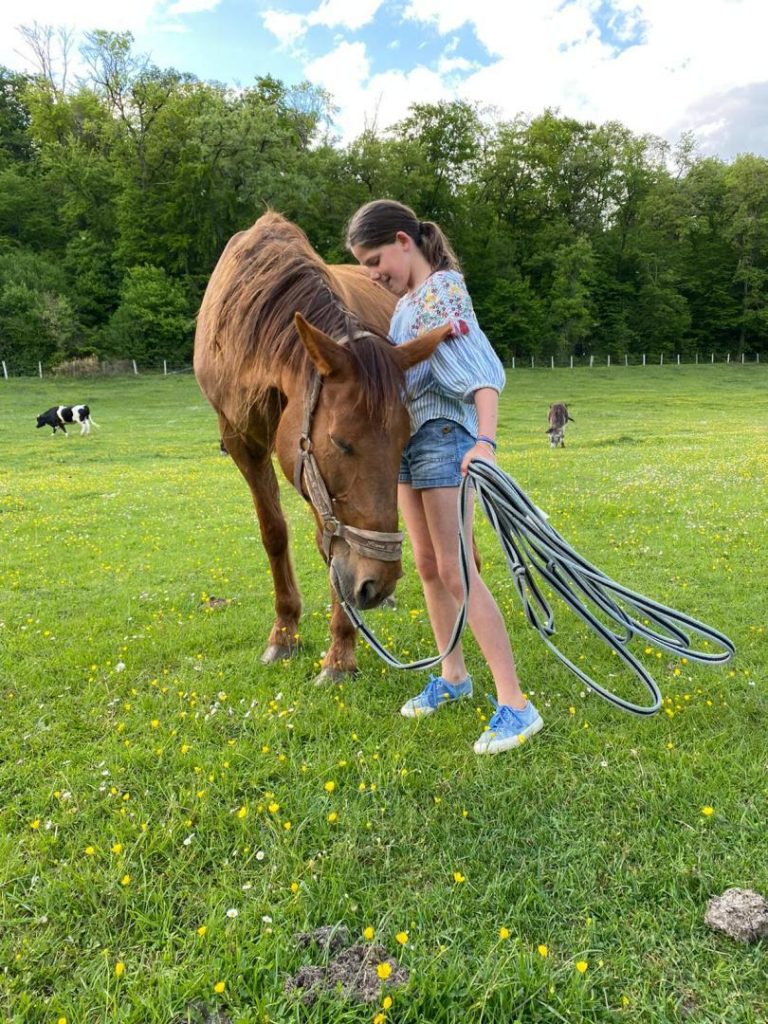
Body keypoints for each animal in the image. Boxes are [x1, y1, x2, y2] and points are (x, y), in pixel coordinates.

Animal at [195, 209, 454, 679]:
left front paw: (339, 654)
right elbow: (275, 533)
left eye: (404, 441)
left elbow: (333, 551)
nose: (377, 582)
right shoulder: (244, 444)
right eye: (340, 441)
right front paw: (284, 634)